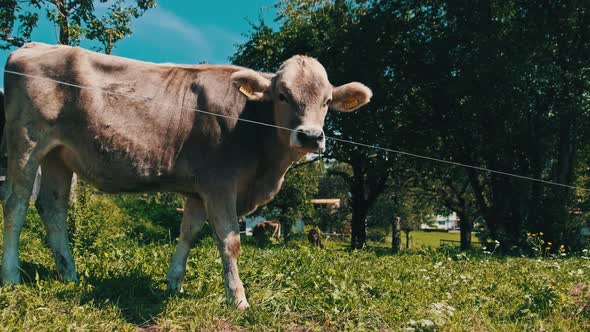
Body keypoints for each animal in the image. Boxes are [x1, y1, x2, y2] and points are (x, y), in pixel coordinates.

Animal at [1, 41, 374, 308]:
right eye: (282, 95)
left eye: (326, 101)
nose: (310, 136)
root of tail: (30, 46)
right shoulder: (219, 184)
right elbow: (230, 242)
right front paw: (238, 299)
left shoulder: (198, 190)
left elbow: (189, 233)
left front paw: (174, 282)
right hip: (26, 142)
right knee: (16, 204)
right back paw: (11, 275)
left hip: (57, 156)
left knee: (52, 208)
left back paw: (69, 274)